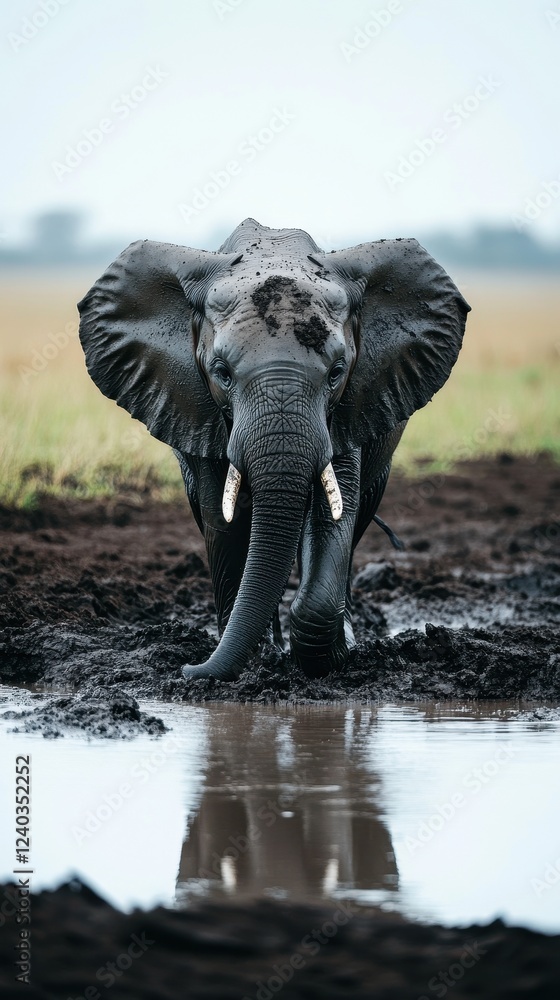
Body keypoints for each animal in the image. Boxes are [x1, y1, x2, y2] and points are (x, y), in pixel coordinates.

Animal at [78, 218, 470, 681]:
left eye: (337, 372)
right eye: (221, 372)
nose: (187, 669)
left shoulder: (349, 407)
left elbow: (335, 508)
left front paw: (333, 654)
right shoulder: (200, 407)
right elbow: (223, 519)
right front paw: (259, 659)